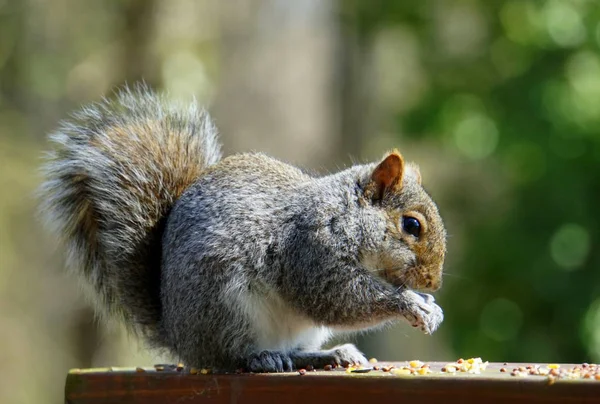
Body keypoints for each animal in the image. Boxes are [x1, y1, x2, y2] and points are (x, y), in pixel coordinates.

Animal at [38, 84, 446, 372]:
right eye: (412, 225)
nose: (433, 282)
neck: (343, 213)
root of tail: (180, 337)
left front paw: (429, 305)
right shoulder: (310, 250)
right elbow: (336, 297)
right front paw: (411, 303)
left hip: (295, 329)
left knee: (292, 351)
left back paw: (324, 356)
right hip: (226, 305)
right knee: (230, 357)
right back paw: (261, 358)